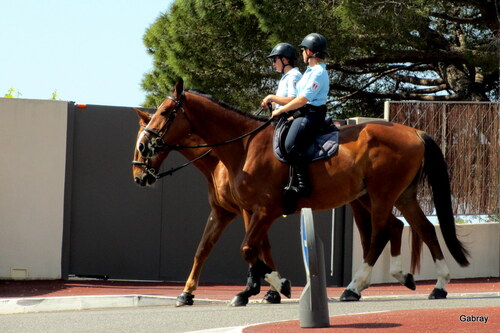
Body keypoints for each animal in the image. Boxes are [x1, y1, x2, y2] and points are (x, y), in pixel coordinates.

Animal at [134, 78, 468, 306]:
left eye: (166, 112)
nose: (140, 168)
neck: (243, 147)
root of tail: (415, 132)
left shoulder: (263, 210)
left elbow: (248, 249)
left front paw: (273, 284)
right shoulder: (245, 211)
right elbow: (231, 248)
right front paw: (259, 287)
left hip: (382, 195)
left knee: (382, 233)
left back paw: (354, 287)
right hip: (399, 195)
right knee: (420, 228)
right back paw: (436, 284)